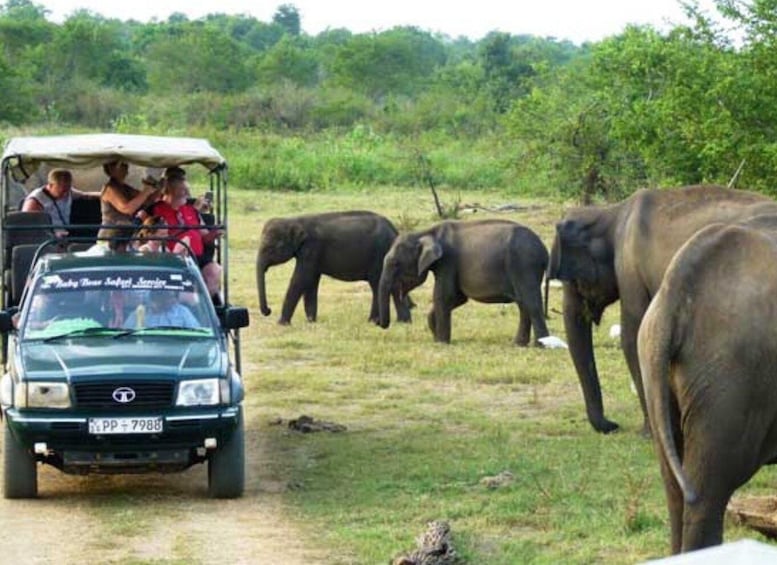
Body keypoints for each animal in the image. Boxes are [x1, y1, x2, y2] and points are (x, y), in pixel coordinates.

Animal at [255, 209, 412, 324]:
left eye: (272, 248)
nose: (268, 310)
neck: (294, 220)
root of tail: (395, 231)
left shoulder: (312, 249)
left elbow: (300, 279)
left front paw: (281, 323)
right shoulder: (311, 254)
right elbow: (311, 282)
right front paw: (311, 321)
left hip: (379, 255)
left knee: (378, 285)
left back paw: (375, 321)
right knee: (387, 286)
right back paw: (401, 322)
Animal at [378, 218, 548, 344]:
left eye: (395, 263)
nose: (380, 324)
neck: (426, 232)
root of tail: (544, 250)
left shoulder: (447, 262)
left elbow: (444, 296)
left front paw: (441, 343)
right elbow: (458, 298)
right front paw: (436, 337)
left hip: (524, 265)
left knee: (530, 302)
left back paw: (540, 345)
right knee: (523, 303)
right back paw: (519, 344)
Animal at [544, 184, 776, 432]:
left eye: (573, 281)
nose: (612, 425)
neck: (611, 213)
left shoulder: (629, 267)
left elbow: (632, 336)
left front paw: (647, 432)